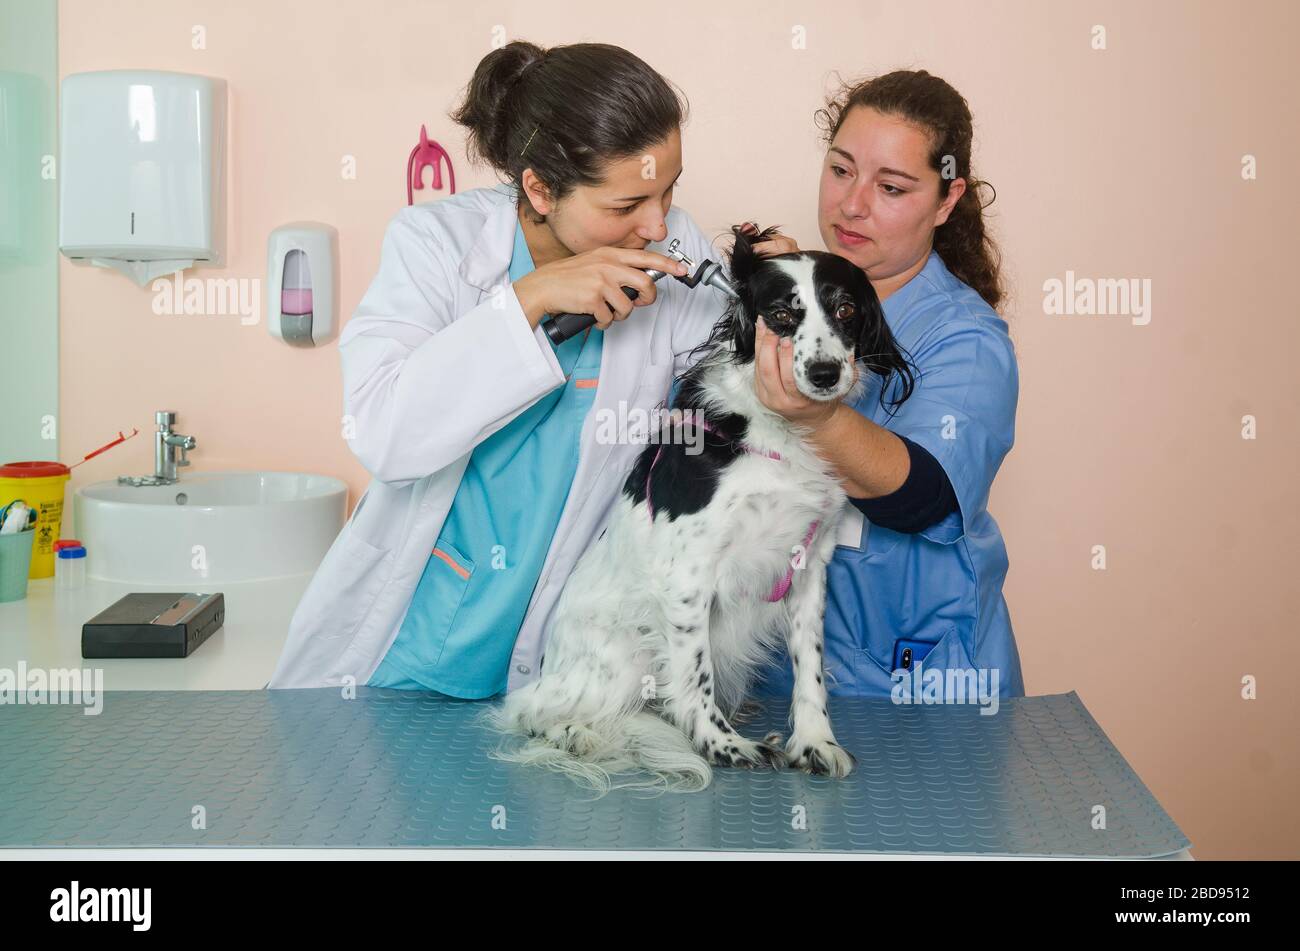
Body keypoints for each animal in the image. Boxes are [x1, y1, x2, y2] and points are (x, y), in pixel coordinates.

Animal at [486, 224, 915, 795]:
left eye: (845, 310)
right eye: (781, 315)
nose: (825, 373)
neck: (776, 434)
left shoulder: (809, 570)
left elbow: (811, 668)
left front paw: (814, 742)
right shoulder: (686, 577)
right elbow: (695, 675)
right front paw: (721, 745)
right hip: (623, 654)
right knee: (535, 711)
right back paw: (578, 734)